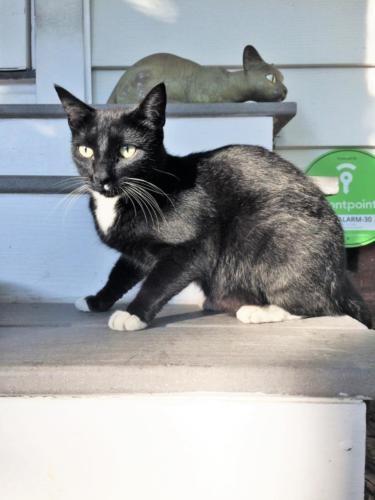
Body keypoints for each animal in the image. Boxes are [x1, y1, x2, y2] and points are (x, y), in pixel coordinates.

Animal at [55, 82, 374, 330]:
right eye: (86, 150)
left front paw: (134, 314)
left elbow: (157, 281)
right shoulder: (137, 252)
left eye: (127, 151)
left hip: (276, 240)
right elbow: (121, 272)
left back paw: (259, 310)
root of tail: (340, 275)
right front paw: (97, 300)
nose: (101, 178)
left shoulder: (194, 246)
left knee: (324, 305)